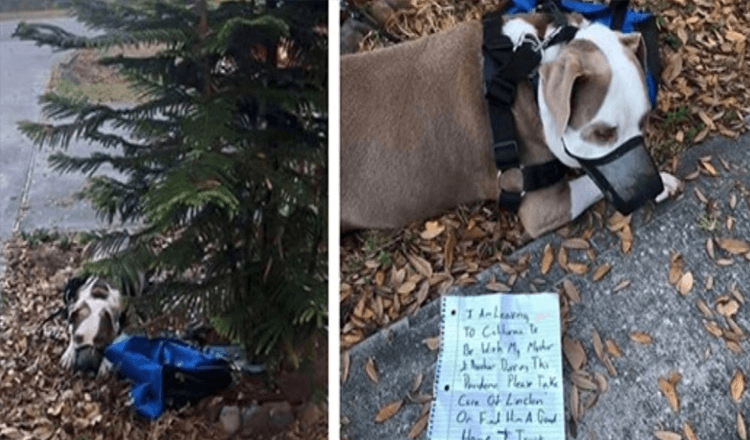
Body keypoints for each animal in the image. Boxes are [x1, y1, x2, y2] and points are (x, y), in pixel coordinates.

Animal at [344, 10, 684, 237]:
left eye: (644, 120)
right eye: (601, 134)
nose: (650, 186)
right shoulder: (543, 207)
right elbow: (590, 183)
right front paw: (664, 182)